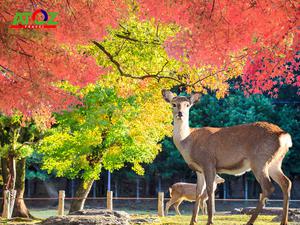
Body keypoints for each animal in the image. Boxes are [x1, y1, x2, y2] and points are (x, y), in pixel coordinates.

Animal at [163, 90, 292, 225]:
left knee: (268, 187)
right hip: (275, 162)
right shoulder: (199, 169)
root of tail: (283, 136)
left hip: (259, 160)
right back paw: (284, 221)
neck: (188, 142)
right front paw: (193, 221)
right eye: (173, 104)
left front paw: (210, 220)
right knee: (286, 182)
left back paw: (250, 221)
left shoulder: (208, 162)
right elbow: (199, 192)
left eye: (187, 105)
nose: (180, 113)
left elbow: (210, 189)